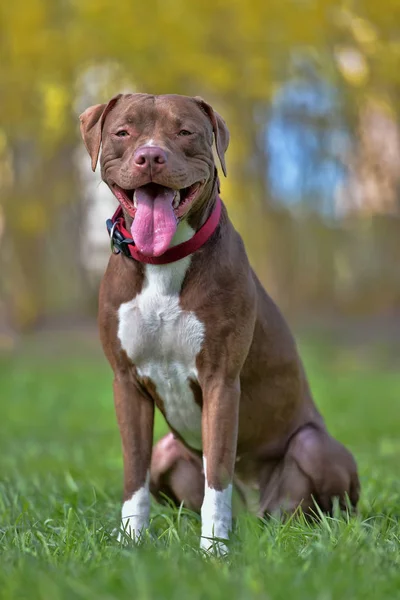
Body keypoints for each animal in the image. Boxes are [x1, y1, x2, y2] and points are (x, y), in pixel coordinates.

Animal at [79, 95, 360, 552]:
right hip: (167, 450)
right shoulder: (126, 382)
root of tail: (254, 515)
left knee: (320, 498)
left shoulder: (220, 380)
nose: (150, 156)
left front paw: (214, 550)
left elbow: (218, 472)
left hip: (313, 448)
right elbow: (134, 473)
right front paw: (131, 542)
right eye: (123, 132)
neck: (164, 261)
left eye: (185, 131)